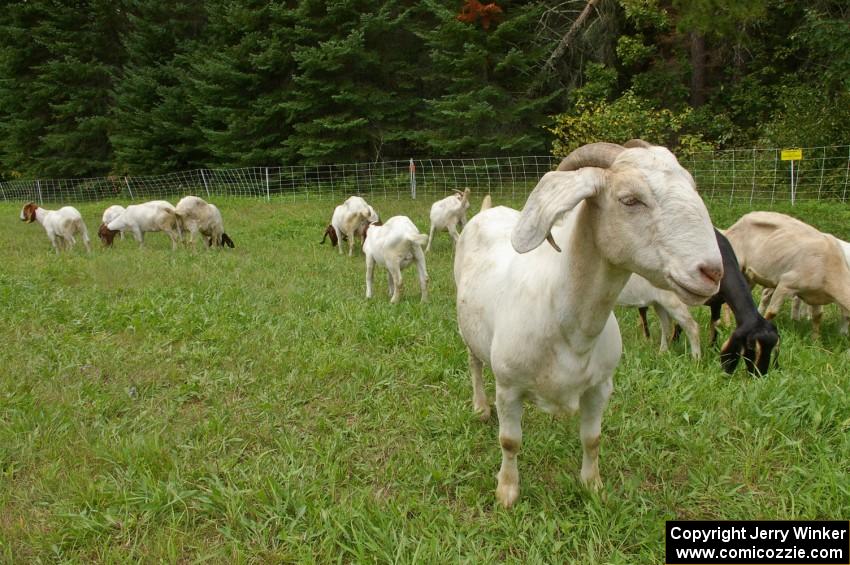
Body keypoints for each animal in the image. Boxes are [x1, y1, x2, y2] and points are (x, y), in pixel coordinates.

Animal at [454, 141, 720, 506]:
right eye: (630, 199)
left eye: (692, 186)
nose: (712, 272)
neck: (568, 325)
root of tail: (487, 211)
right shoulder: (508, 387)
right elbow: (510, 442)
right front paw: (507, 493)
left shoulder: (600, 387)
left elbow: (592, 439)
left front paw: (593, 486)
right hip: (468, 331)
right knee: (474, 364)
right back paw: (480, 407)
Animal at [720, 209, 848, 338]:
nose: (844, 336)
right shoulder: (786, 284)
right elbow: (772, 312)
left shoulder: (816, 294)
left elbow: (817, 317)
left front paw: (815, 340)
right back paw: (728, 325)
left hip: (748, 276)